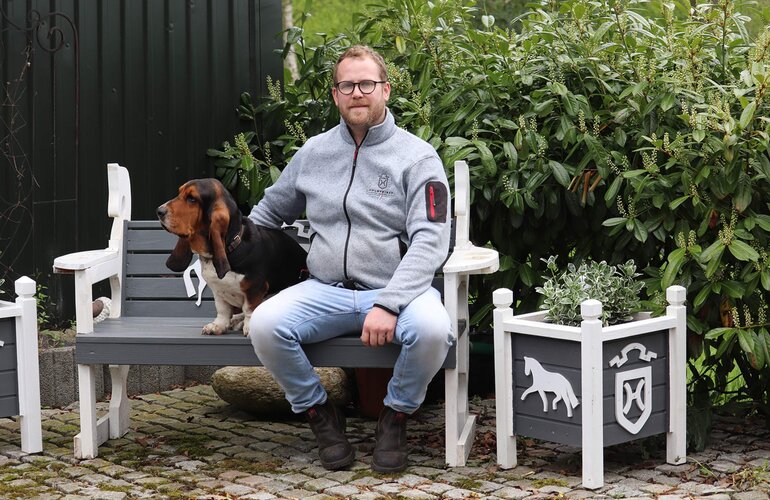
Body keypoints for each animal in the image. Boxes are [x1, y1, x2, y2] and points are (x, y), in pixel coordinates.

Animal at [157, 178, 307, 336]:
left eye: (192, 198)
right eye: (179, 192)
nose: (159, 211)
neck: (232, 247)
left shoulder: (255, 289)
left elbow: (249, 309)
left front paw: (249, 327)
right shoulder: (218, 291)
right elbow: (222, 310)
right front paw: (218, 325)